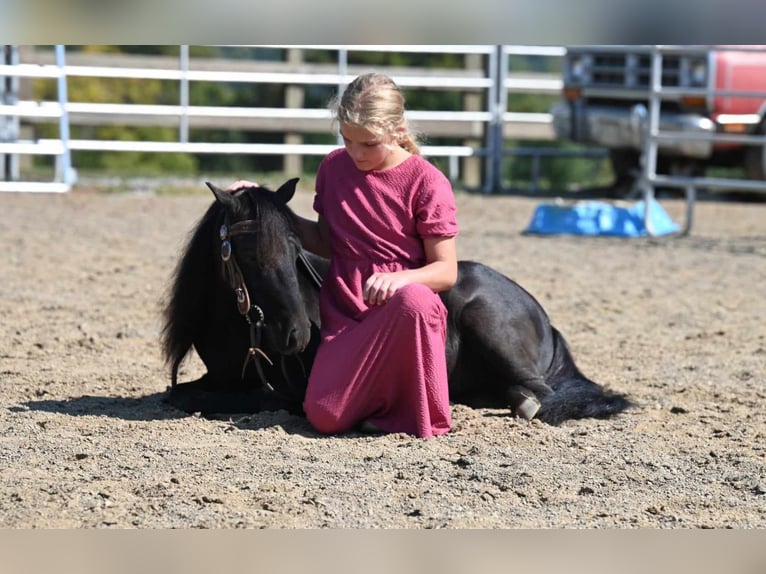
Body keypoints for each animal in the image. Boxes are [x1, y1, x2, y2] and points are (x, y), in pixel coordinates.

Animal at [160, 180, 632, 428]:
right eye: (251, 256)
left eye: (293, 250)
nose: (297, 333)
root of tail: (541, 315)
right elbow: (178, 393)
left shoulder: (282, 390)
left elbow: (205, 399)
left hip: (488, 324)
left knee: (540, 393)